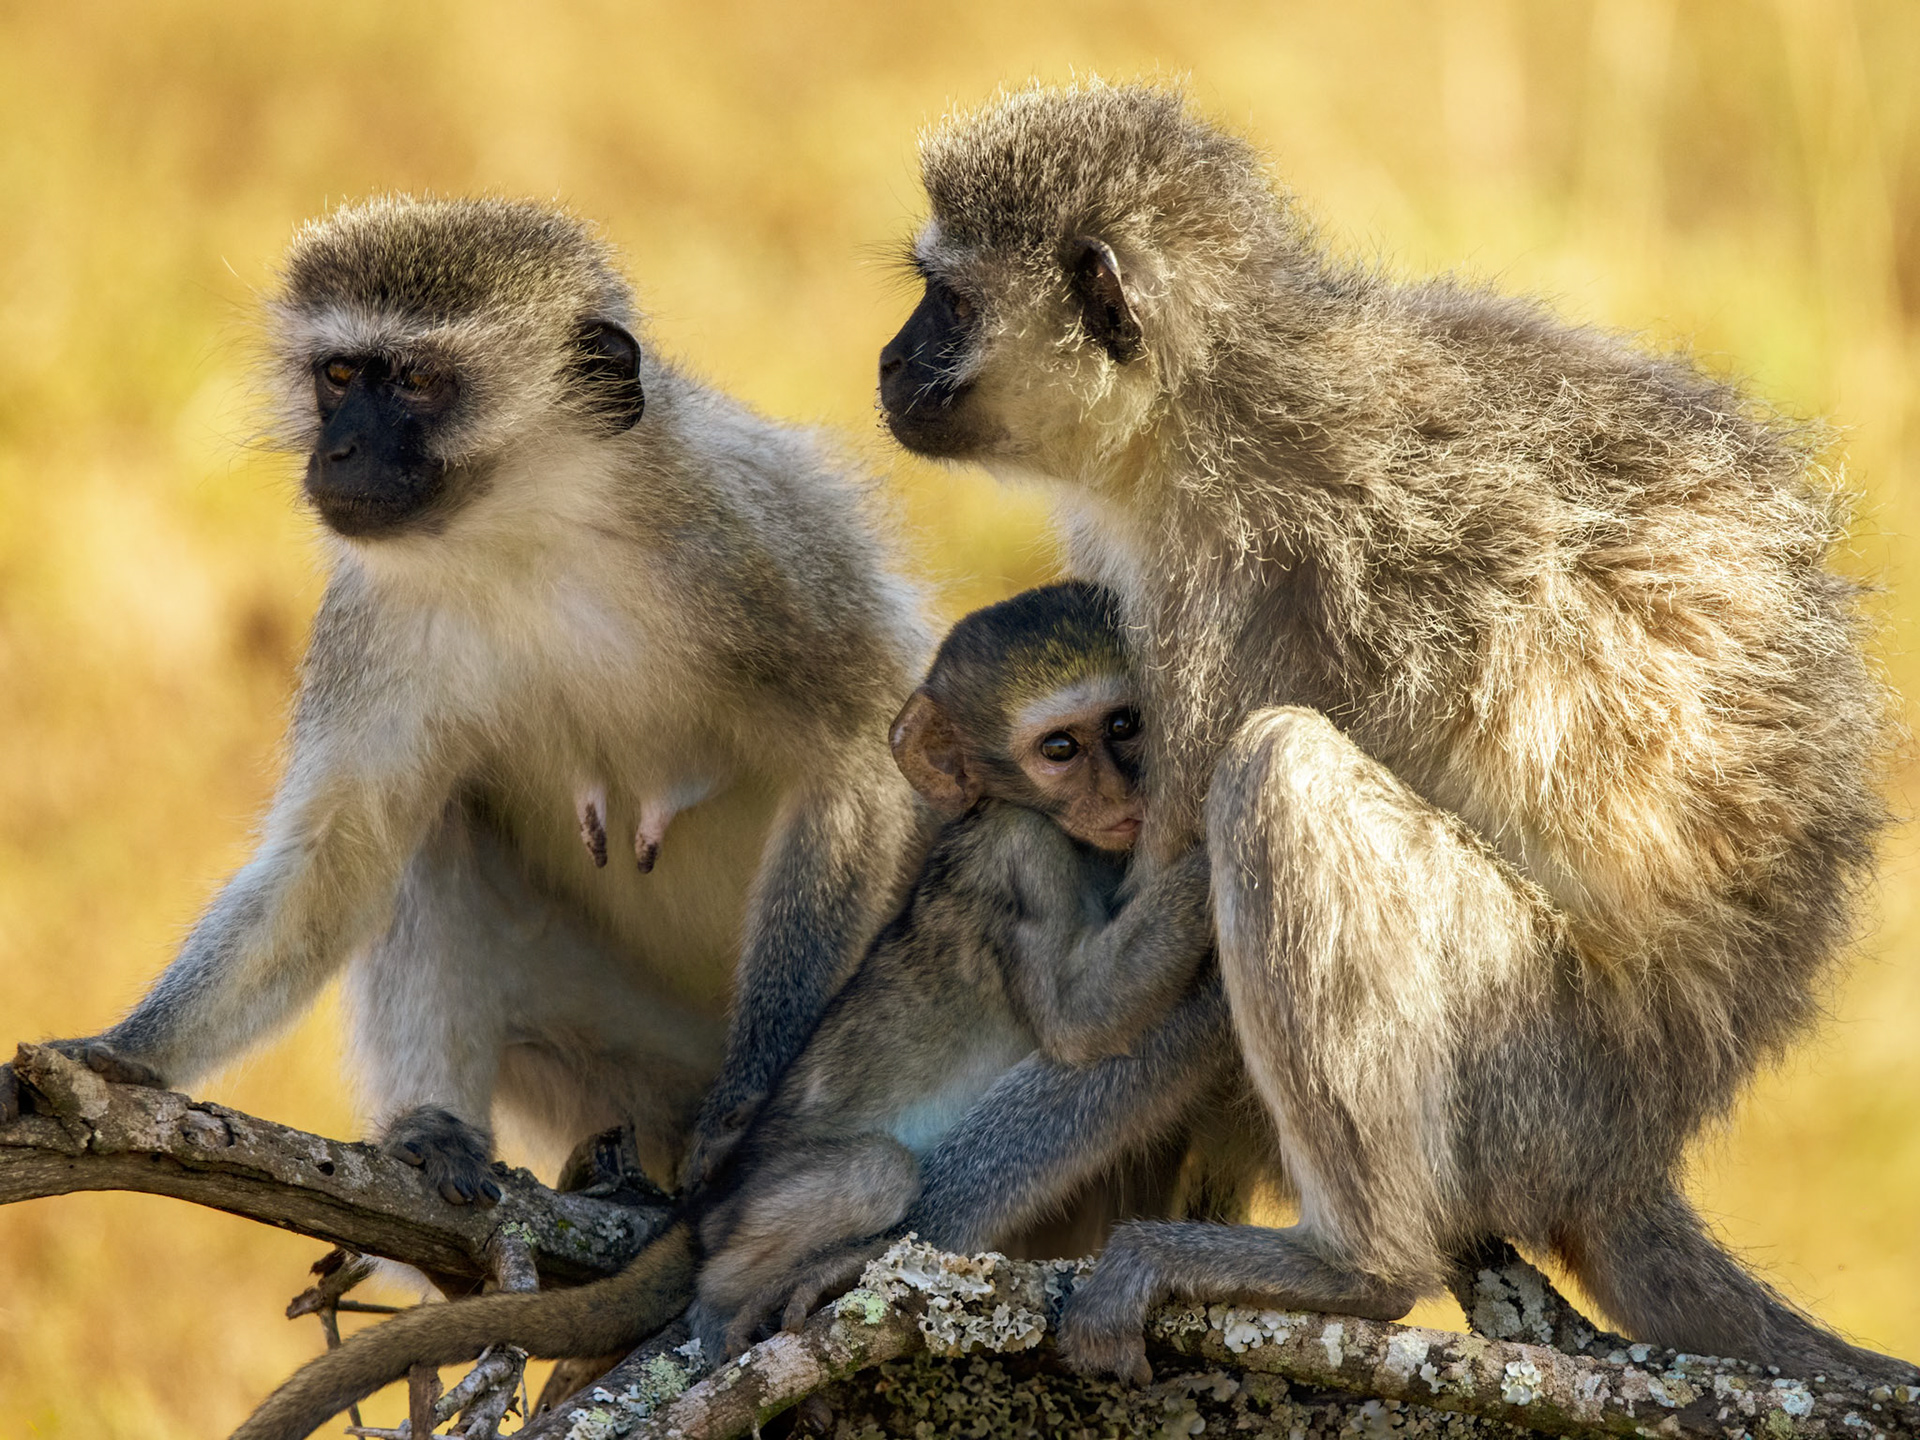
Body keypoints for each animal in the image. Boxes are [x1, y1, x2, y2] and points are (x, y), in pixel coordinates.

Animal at [0, 197, 928, 1223]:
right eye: (338, 375)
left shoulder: (758, 539)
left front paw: (748, 1106)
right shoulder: (374, 617)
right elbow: (336, 856)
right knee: (428, 831)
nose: (338, 450)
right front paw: (123, 1056)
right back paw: (438, 1130)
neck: (525, 528)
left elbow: (852, 756)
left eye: (414, 381)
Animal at [224, 580, 1219, 1440]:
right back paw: (732, 1301)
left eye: (1125, 725)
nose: (1122, 792)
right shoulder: (1023, 851)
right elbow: (1082, 1021)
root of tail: (708, 1199)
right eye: (1062, 749)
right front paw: (1216, 845)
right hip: (765, 1198)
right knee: (870, 1175)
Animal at [875, 82, 1915, 1386]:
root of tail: (1634, 1147)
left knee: (1280, 773)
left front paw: (883, 1231)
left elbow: (1146, 990)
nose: (889, 362)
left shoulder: (1234, 593)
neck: (1209, 396)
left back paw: (1353, 1269)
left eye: (948, 301)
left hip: (1533, 1075)